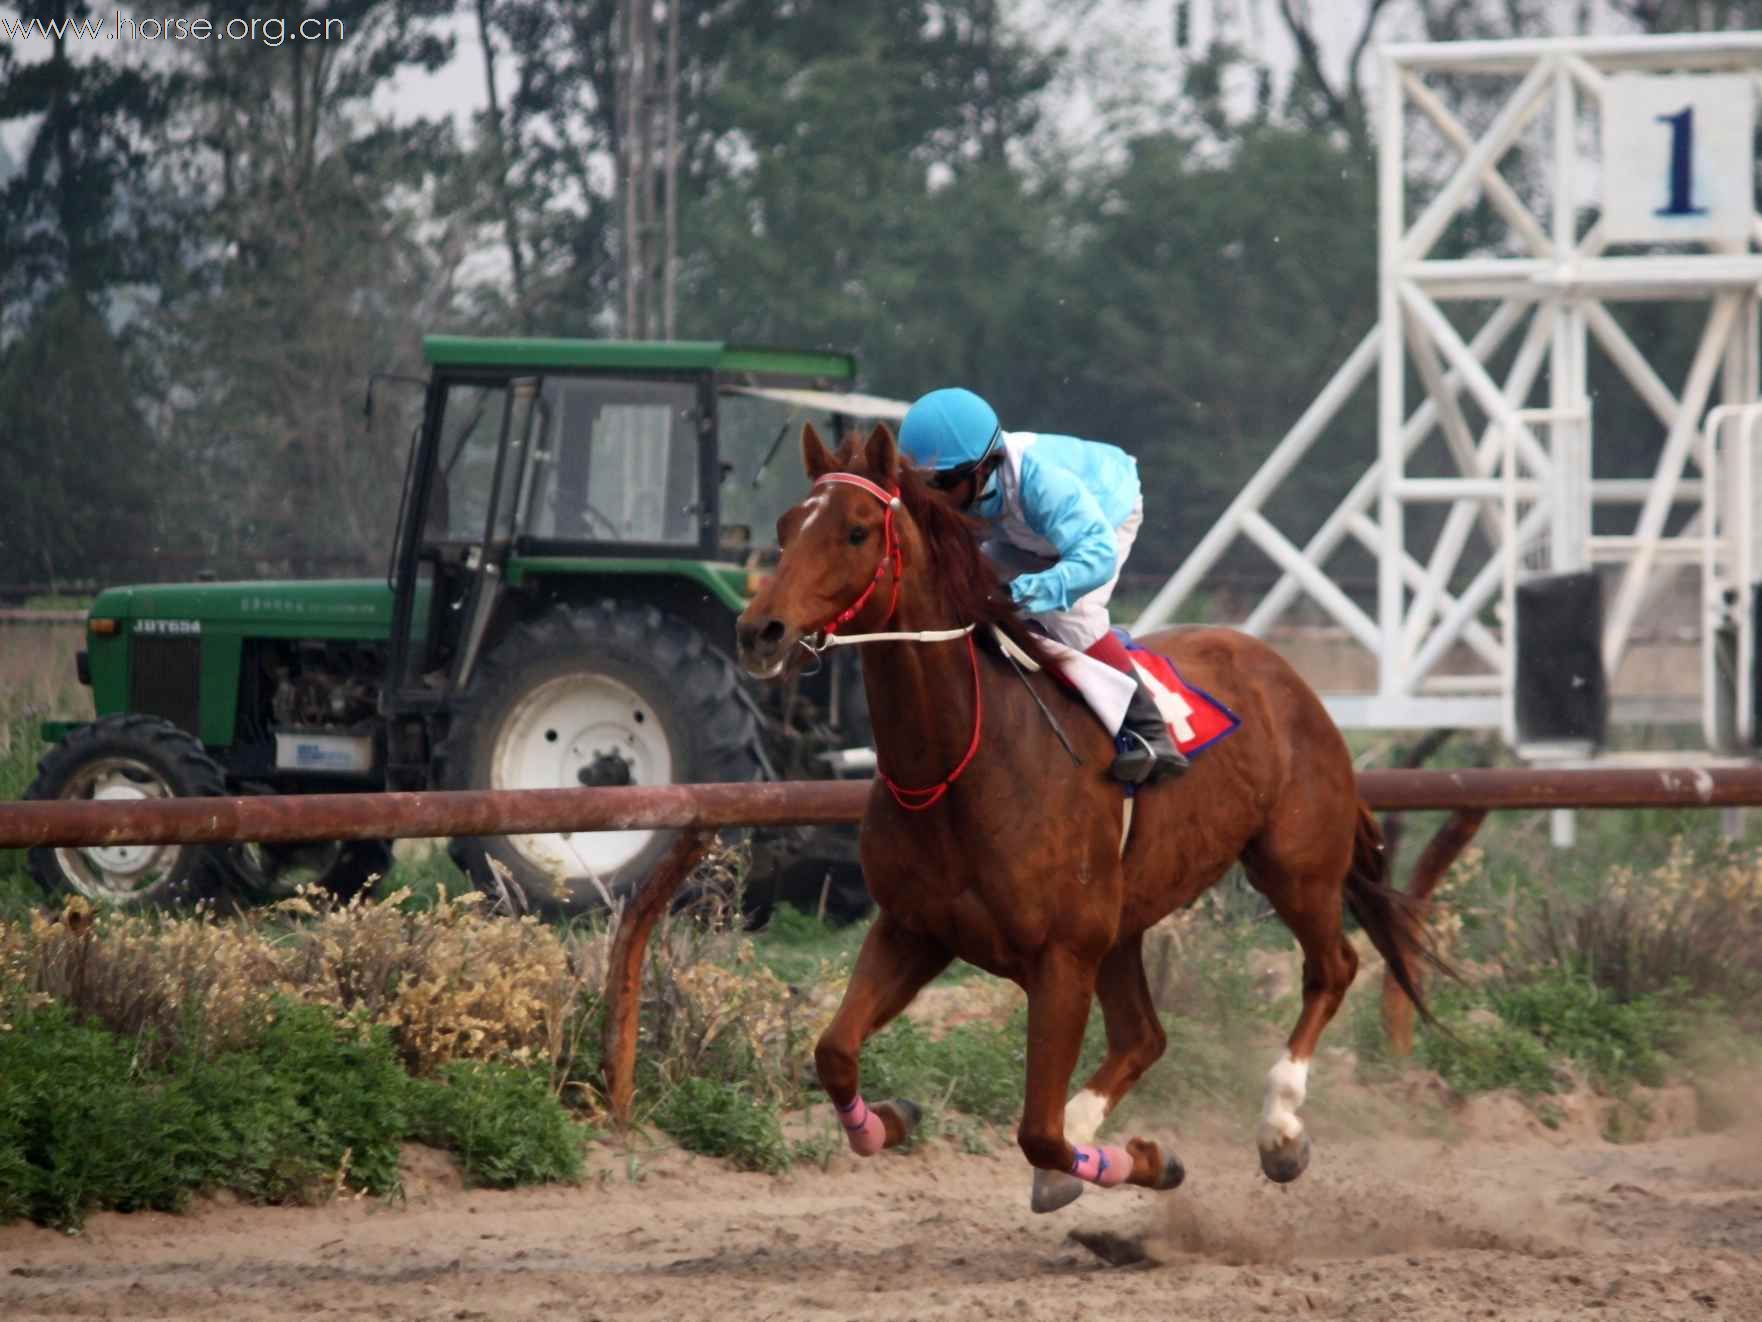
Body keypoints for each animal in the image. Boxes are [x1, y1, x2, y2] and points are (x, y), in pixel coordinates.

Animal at [732, 421, 1430, 1212]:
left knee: (1332, 968)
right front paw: (890, 1120)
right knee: (1143, 1037)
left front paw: (1145, 1159)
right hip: (1123, 920)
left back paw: (1279, 1128)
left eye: (854, 531)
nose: (759, 632)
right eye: (785, 527)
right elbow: (835, 1052)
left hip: (1295, 864)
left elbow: (1037, 1131)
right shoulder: (914, 928)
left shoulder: (1061, 956)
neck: (960, 764)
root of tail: (1284, 673)